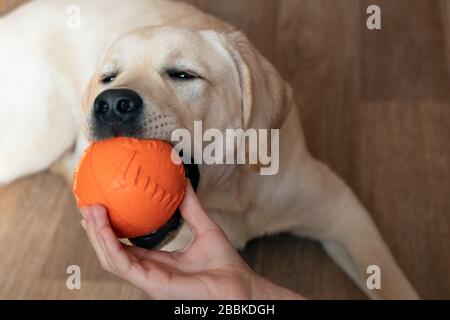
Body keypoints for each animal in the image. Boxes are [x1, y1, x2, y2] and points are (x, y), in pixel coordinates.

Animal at [0, 0, 418, 300]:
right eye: (109, 77)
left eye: (183, 74)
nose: (110, 103)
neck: (231, 198)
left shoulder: (340, 209)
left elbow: (391, 282)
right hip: (38, 138)